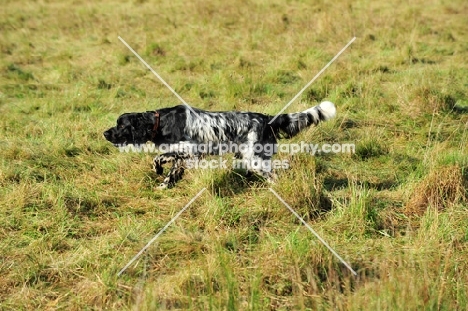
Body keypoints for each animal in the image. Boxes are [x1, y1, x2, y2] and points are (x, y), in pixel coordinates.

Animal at [103, 102, 334, 189]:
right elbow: (172, 170)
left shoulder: (190, 149)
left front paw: (157, 169)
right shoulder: (183, 157)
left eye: (120, 125)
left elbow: (159, 157)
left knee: (274, 177)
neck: (162, 122)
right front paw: (163, 186)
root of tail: (266, 118)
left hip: (256, 159)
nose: (105, 133)